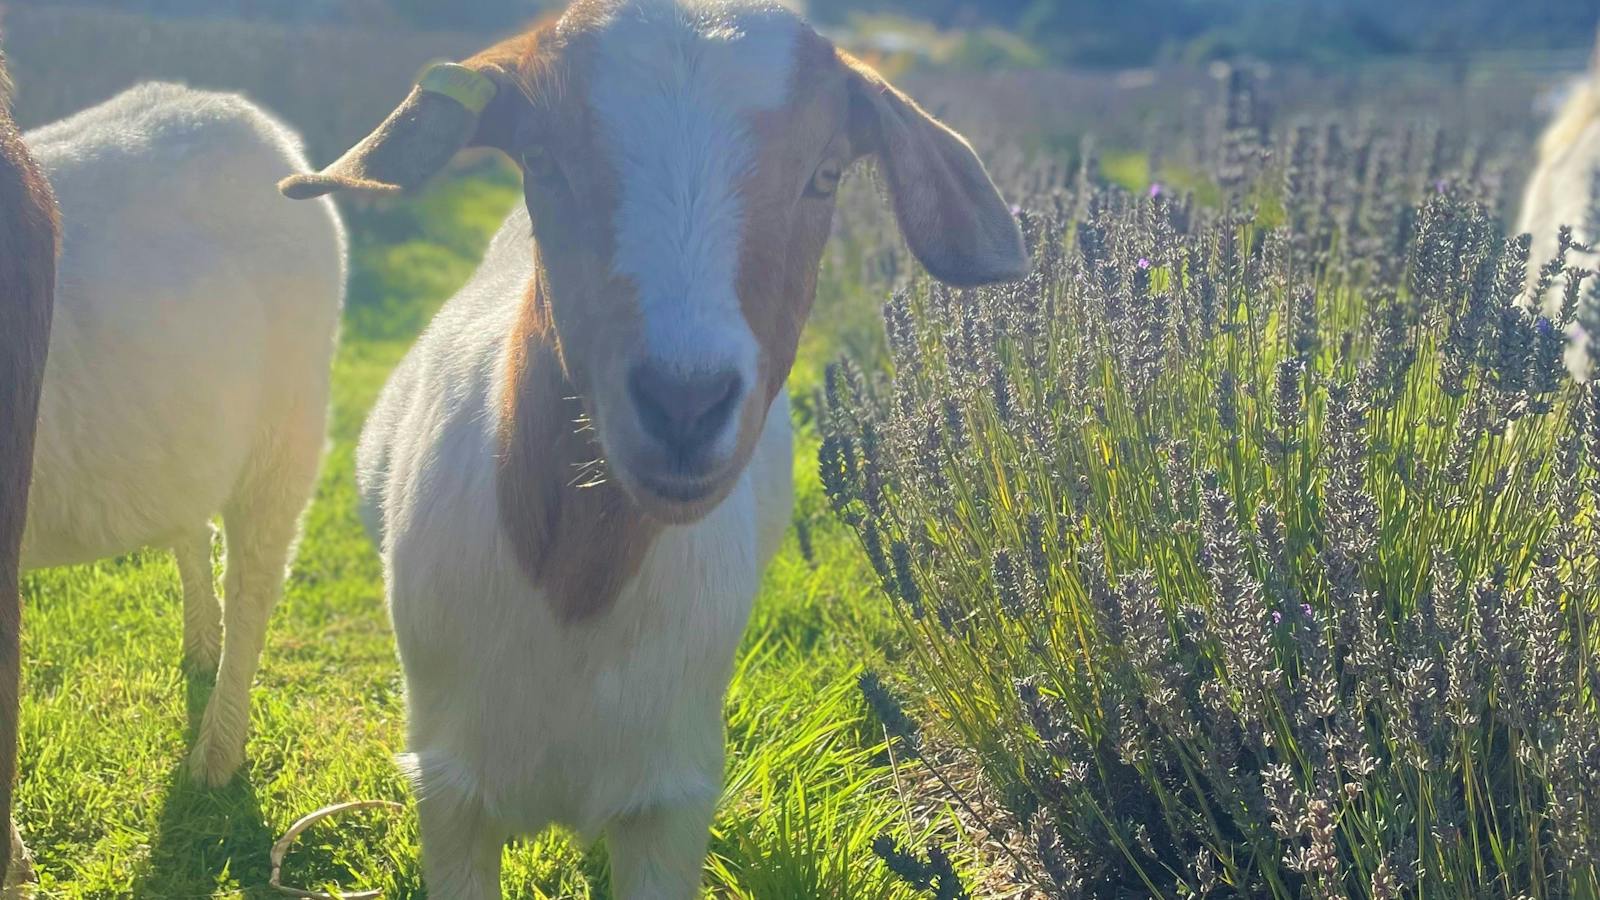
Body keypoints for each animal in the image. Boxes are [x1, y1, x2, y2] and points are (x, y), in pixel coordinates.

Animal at [283, 0, 1027, 895]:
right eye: (543, 161)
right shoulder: (451, 791)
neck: (574, 592)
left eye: (825, 174)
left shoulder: (668, 801)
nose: (684, 401)